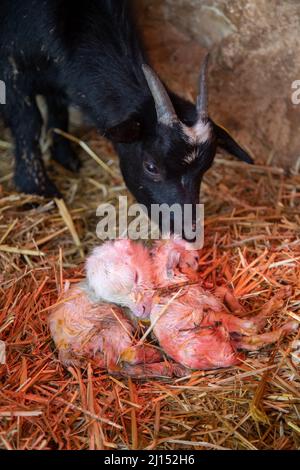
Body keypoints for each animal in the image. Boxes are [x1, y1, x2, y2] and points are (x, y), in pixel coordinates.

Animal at [0, 0, 253, 214]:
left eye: (205, 169)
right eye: (151, 166)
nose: (188, 232)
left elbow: (57, 108)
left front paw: (64, 155)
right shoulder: (10, 69)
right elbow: (28, 123)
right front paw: (36, 187)